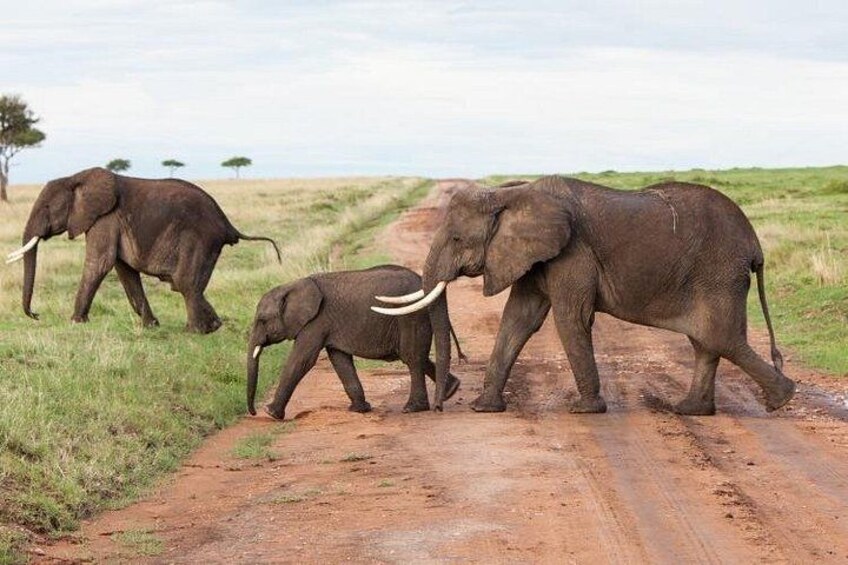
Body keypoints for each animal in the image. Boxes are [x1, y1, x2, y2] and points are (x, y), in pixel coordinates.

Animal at [6, 167, 281, 333]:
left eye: (47, 208)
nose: (36, 314)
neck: (76, 177)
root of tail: (227, 223)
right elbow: (124, 270)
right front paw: (151, 326)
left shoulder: (105, 219)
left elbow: (100, 264)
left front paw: (75, 323)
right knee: (187, 284)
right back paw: (213, 326)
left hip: (199, 238)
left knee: (184, 282)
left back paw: (194, 331)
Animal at [247, 265, 464, 420]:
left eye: (262, 321)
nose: (253, 412)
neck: (292, 285)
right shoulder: (328, 325)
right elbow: (340, 360)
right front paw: (359, 409)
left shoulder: (316, 322)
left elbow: (302, 360)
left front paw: (271, 413)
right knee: (416, 356)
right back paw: (450, 391)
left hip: (411, 316)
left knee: (412, 358)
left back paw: (413, 408)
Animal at [374, 176, 796, 416]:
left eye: (458, 240)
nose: (441, 407)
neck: (512, 194)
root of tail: (755, 244)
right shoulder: (535, 257)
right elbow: (518, 319)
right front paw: (485, 408)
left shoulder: (572, 252)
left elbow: (569, 318)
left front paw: (585, 410)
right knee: (706, 342)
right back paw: (692, 411)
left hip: (718, 274)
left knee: (720, 337)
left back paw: (782, 400)